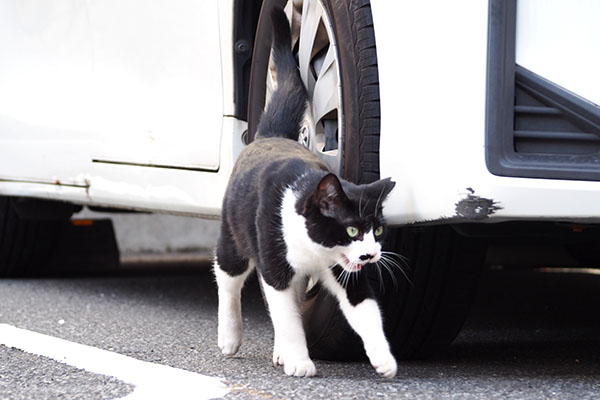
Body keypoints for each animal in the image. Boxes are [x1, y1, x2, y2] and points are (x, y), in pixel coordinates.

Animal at [213, 7, 396, 380]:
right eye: (351, 229)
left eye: (378, 230)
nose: (371, 255)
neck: (317, 251)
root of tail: (270, 135)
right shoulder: (275, 263)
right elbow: (286, 316)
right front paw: (299, 361)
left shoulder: (347, 273)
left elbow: (365, 309)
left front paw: (384, 359)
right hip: (235, 232)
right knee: (228, 276)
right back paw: (230, 336)